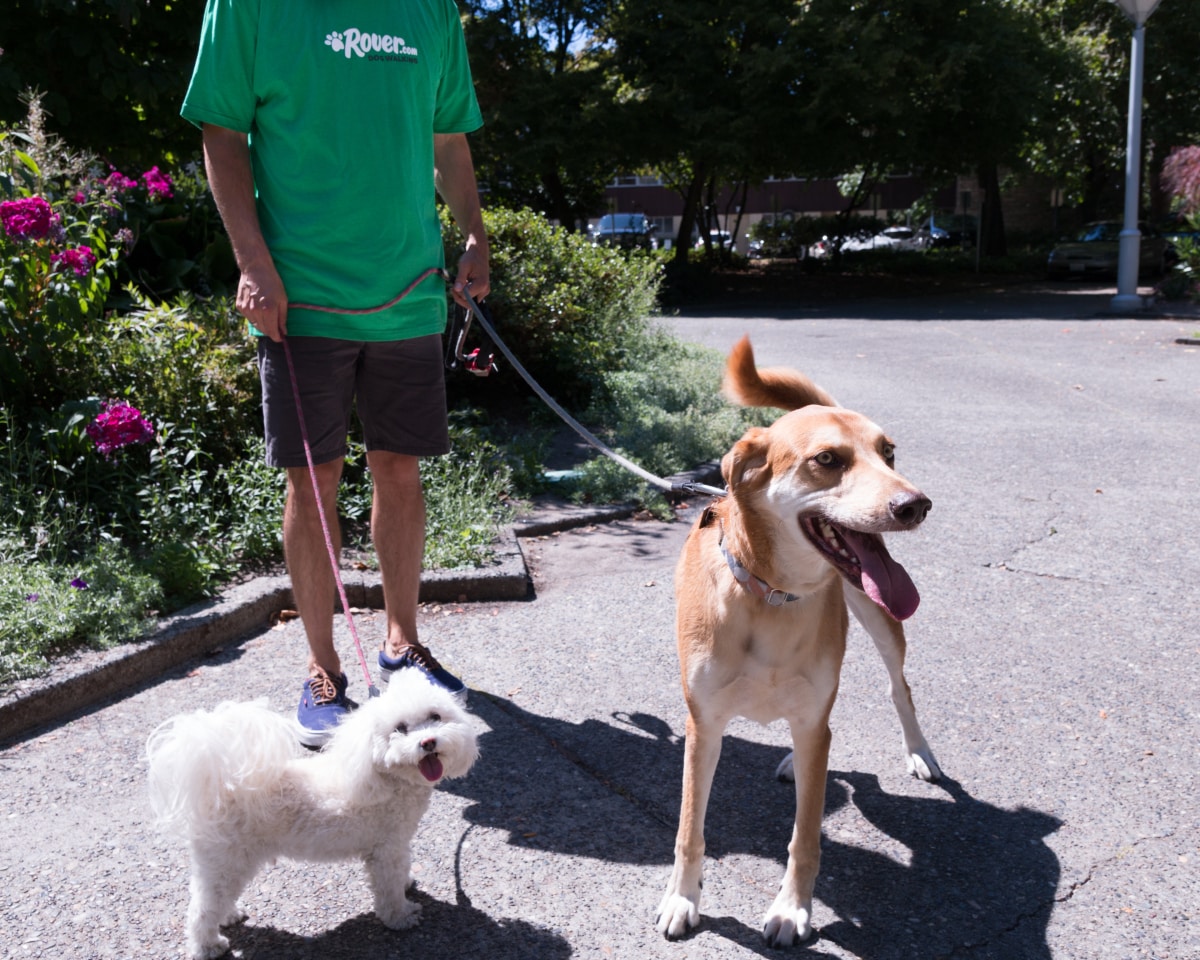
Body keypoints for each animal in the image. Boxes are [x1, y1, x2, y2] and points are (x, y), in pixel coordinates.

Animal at [150, 667, 482, 960]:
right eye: (399, 728)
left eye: (435, 717)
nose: (427, 742)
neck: (386, 779)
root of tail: (220, 784)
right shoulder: (385, 850)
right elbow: (388, 888)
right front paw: (401, 916)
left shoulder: (397, 845)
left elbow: (401, 870)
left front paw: (407, 884)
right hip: (228, 858)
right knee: (201, 908)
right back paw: (207, 946)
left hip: (225, 863)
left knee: (214, 897)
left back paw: (229, 916)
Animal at [657, 336, 936, 945]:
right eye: (827, 460)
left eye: (889, 453)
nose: (915, 504)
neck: (771, 597)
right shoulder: (702, 726)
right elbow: (689, 828)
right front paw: (682, 899)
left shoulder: (813, 718)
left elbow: (805, 838)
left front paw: (791, 910)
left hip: (879, 619)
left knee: (897, 688)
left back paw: (919, 752)